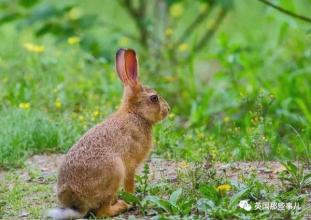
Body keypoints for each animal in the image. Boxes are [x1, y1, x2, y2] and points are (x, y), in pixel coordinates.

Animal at [47, 48, 171, 218]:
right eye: (154, 98)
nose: (168, 109)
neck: (136, 114)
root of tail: (78, 205)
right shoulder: (130, 166)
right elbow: (130, 183)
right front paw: (132, 199)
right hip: (115, 171)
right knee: (102, 212)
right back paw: (122, 205)